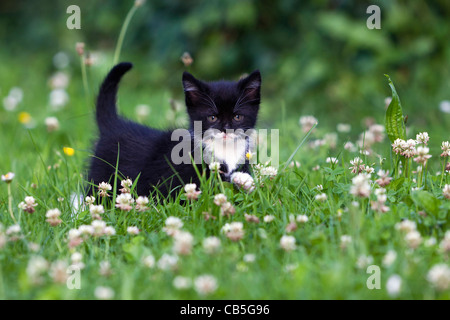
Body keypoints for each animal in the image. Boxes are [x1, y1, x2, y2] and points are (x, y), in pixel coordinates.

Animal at [87, 62, 260, 198]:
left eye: (237, 117)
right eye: (212, 117)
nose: (225, 130)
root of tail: (113, 123)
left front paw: (243, 181)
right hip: (101, 177)